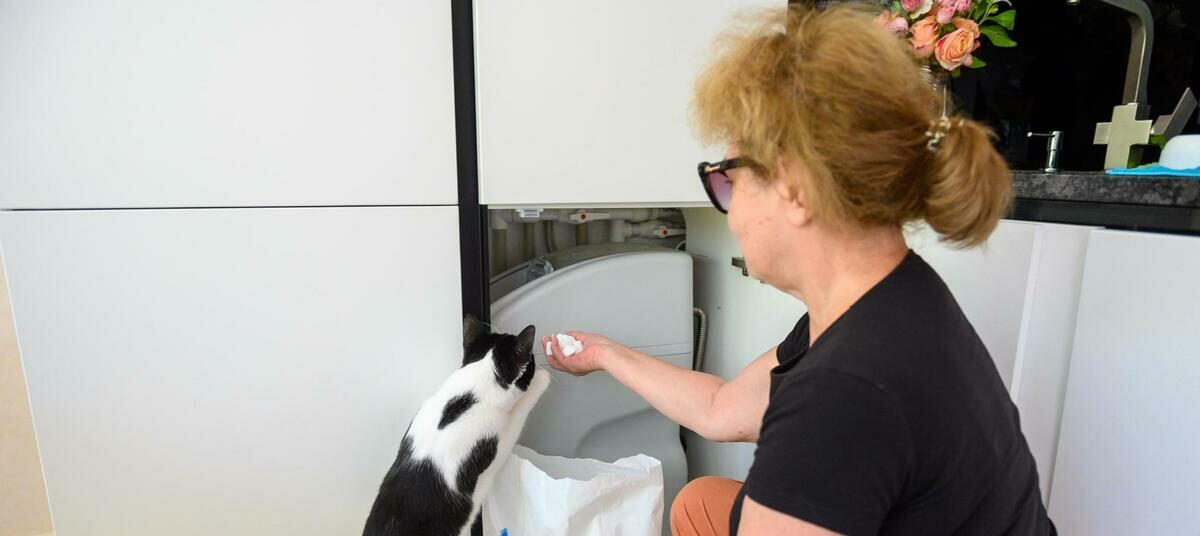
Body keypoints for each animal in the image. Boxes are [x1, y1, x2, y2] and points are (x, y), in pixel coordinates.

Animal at [363, 315, 549, 536]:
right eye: (531, 361)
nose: (538, 363)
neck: (465, 398)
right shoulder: (497, 443)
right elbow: (518, 415)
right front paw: (543, 378)